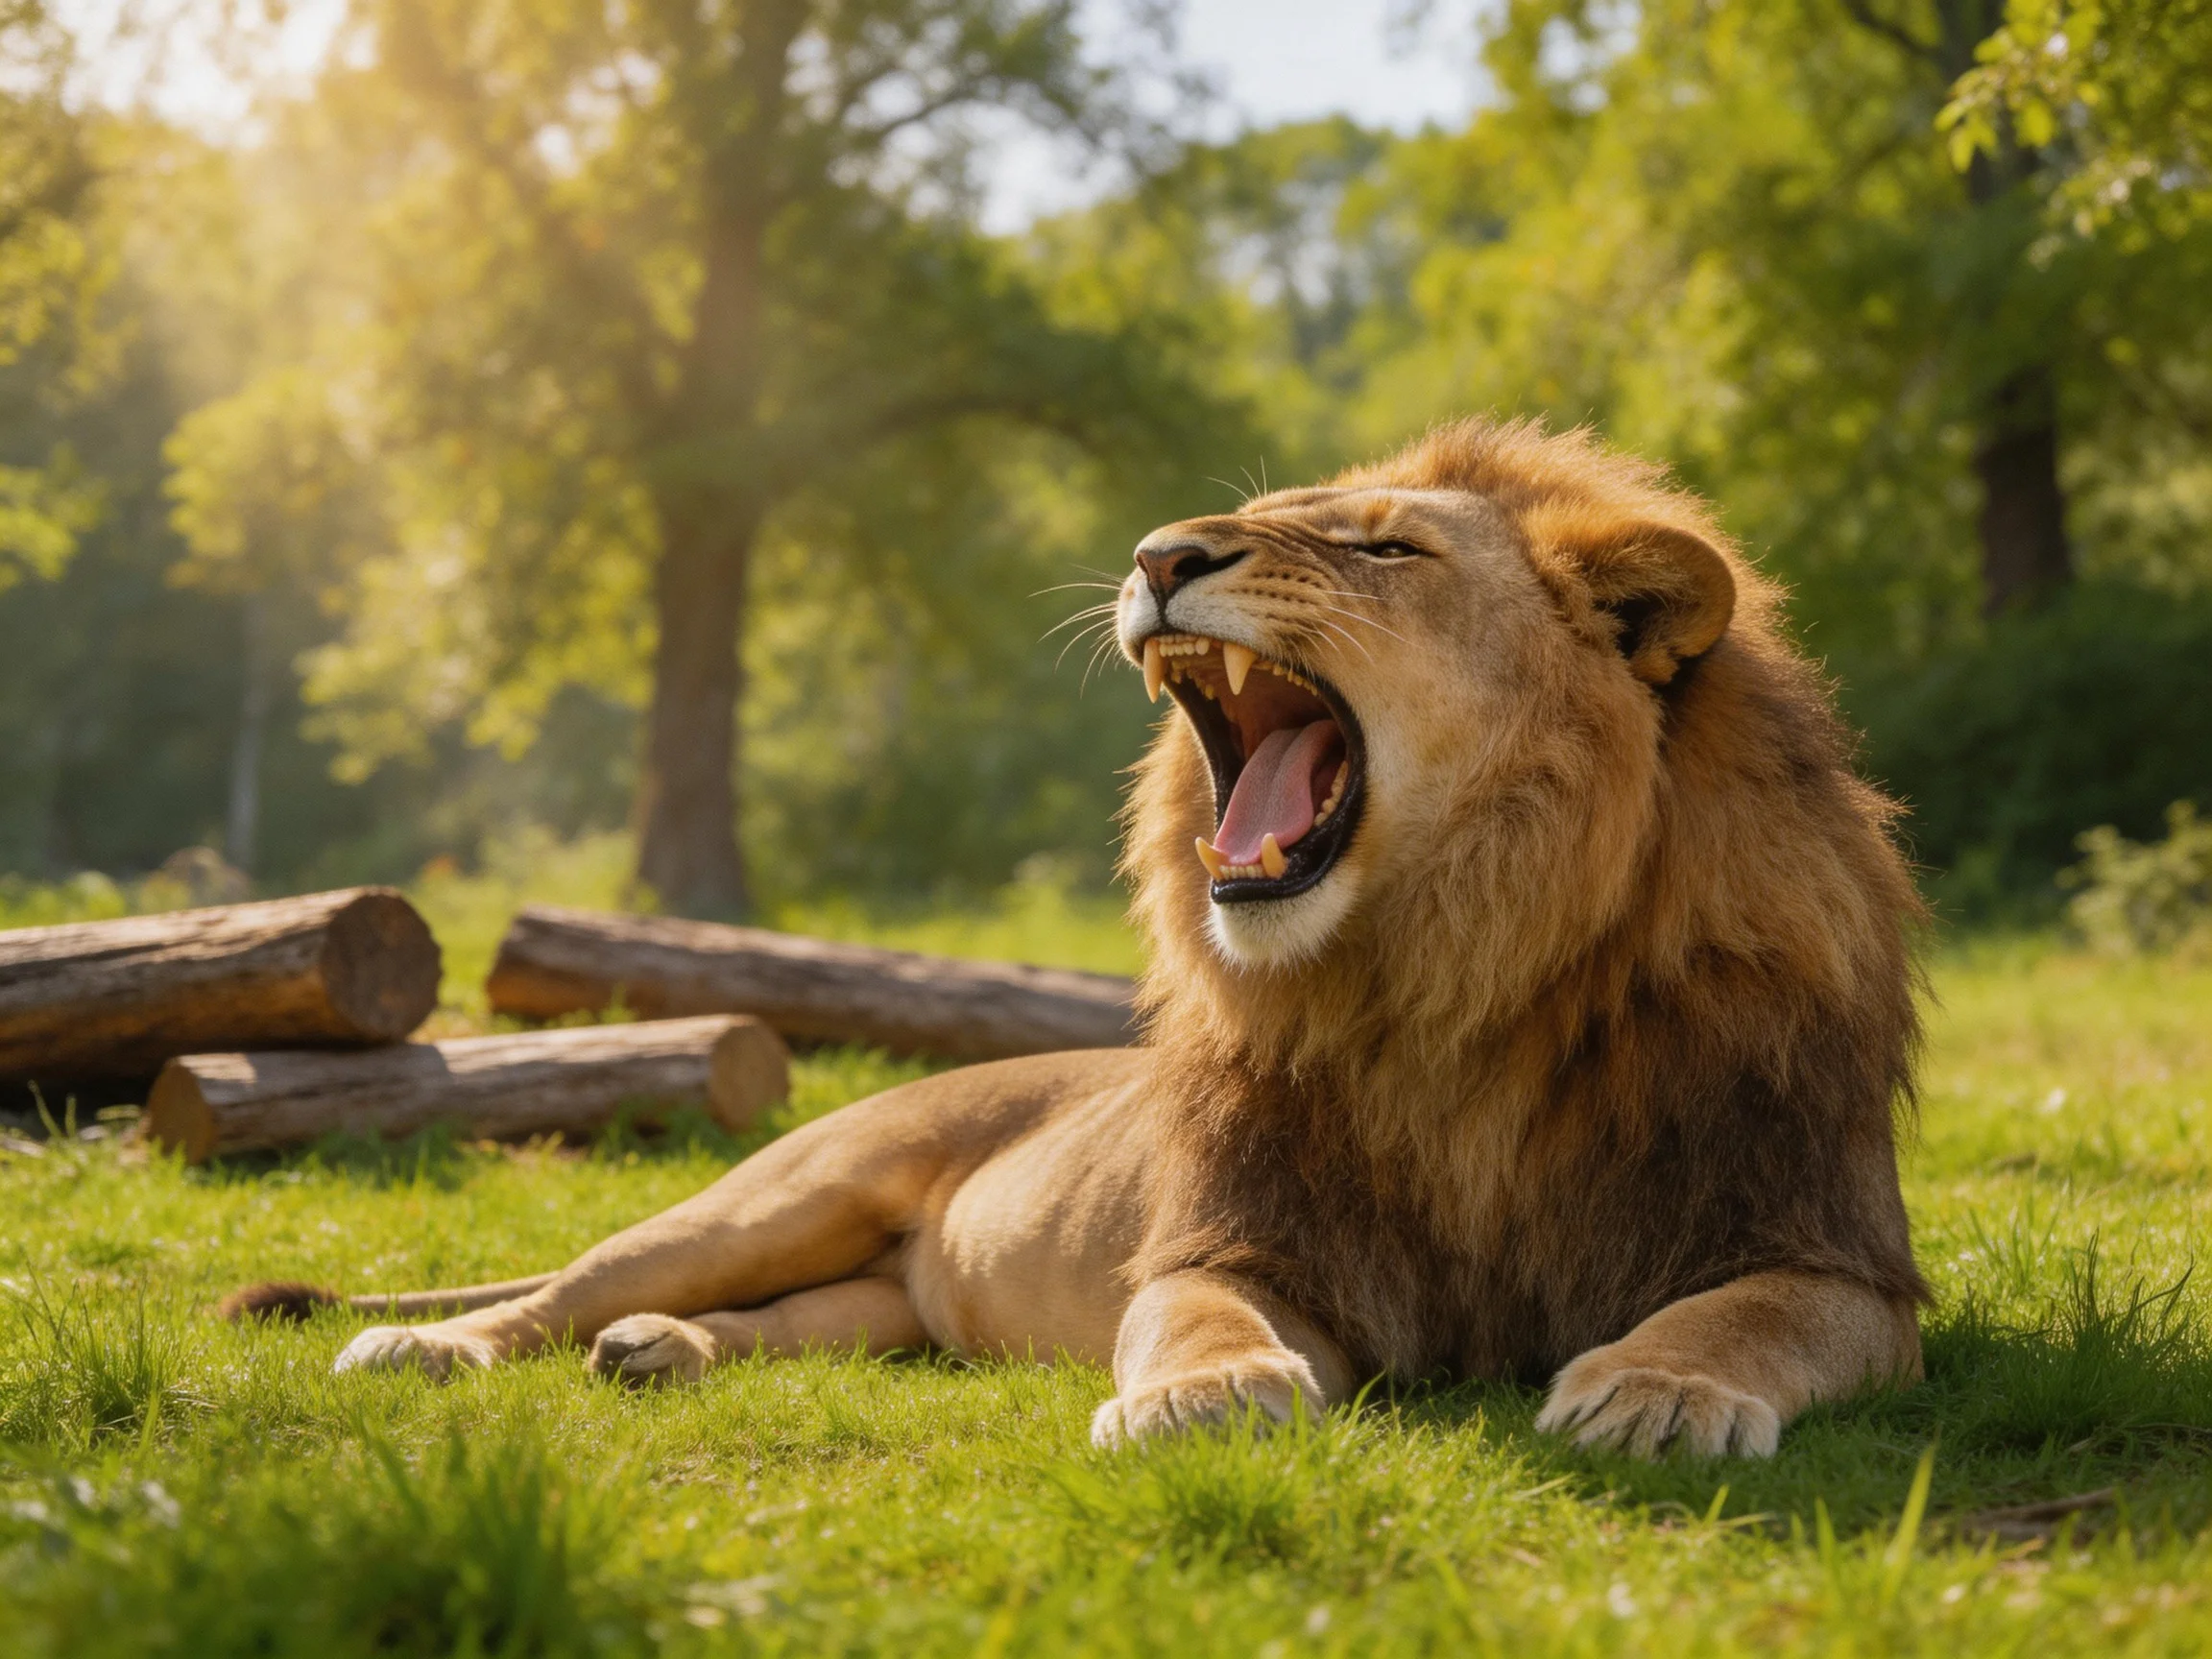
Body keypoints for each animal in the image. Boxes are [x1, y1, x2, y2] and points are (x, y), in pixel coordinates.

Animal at [228, 417, 1927, 1459]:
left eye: (1384, 551)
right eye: (1263, 523)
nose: (1164, 552)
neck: (1461, 980)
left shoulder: (1835, 1249)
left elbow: (1753, 1312)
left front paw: (1654, 1390)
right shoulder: (1232, 1238)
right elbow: (1192, 1316)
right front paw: (1207, 1399)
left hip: (873, 1305)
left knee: (794, 1327)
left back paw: (662, 1352)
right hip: (780, 1194)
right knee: (556, 1292)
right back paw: (436, 1352)